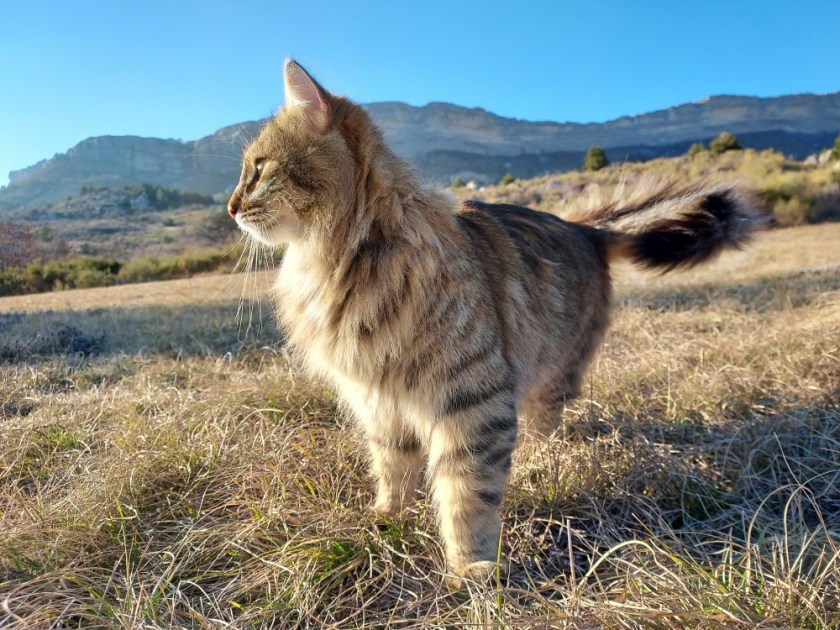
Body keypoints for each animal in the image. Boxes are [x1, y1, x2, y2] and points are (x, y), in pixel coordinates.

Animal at [228, 59, 756, 585]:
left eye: (258, 169)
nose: (231, 208)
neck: (349, 259)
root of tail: (583, 227)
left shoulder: (472, 399)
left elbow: (467, 491)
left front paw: (470, 565)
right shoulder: (377, 398)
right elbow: (394, 468)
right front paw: (388, 517)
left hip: (551, 371)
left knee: (546, 423)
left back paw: (541, 461)